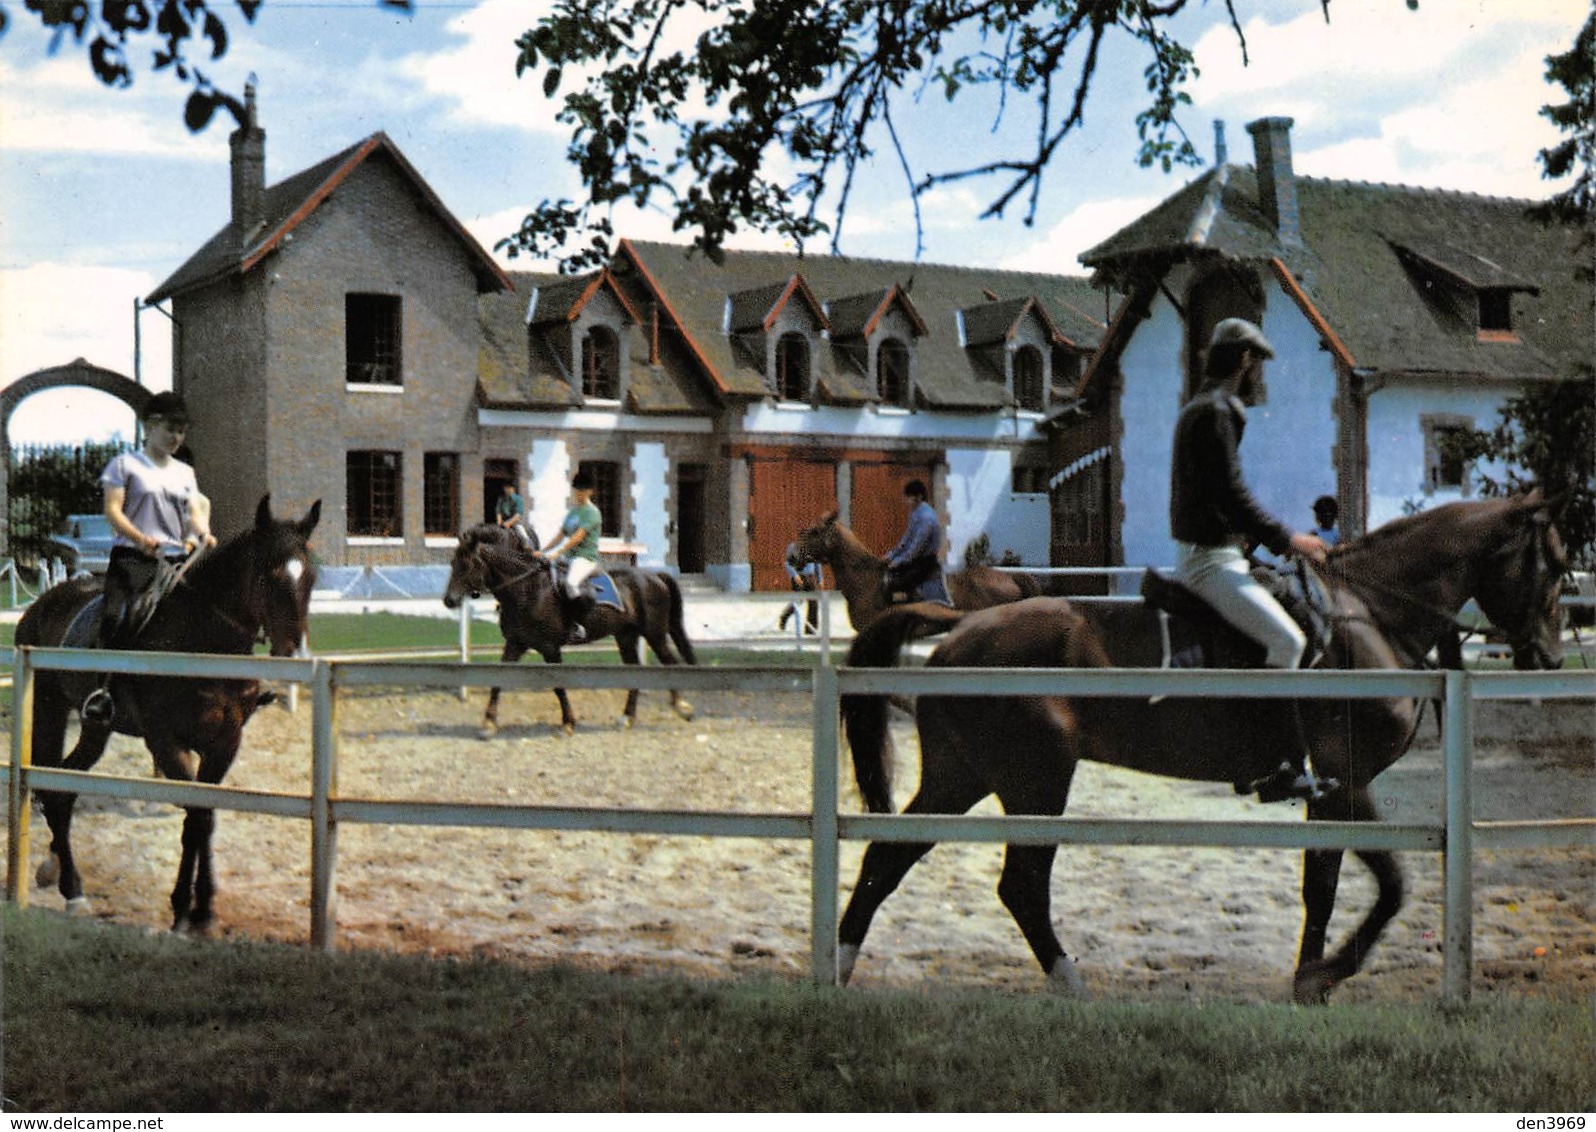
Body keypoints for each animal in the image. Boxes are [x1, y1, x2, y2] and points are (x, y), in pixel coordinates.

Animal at [14, 494, 320, 926]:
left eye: (311, 578)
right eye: (268, 575)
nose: (293, 653)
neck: (203, 643)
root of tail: (39, 607)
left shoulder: (224, 744)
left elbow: (205, 817)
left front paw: (203, 908)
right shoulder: (167, 744)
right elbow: (195, 815)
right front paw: (183, 909)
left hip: (96, 729)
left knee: (66, 788)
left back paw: (60, 876)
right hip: (49, 710)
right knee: (51, 784)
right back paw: (71, 889)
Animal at [446, 526, 702, 737]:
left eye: (466, 565)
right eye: (452, 563)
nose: (449, 600)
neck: (526, 588)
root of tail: (653, 575)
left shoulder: (550, 647)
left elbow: (559, 687)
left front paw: (568, 723)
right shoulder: (515, 643)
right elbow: (496, 680)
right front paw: (488, 723)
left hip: (655, 634)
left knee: (670, 663)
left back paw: (682, 707)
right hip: (626, 637)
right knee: (636, 672)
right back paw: (628, 718)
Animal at [842, 494, 1564, 996]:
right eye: (1553, 565)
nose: (1552, 657)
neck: (1369, 616)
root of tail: (964, 627)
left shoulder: (1331, 790)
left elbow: (1323, 887)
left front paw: (1310, 984)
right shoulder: (1346, 778)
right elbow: (1388, 889)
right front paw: (1323, 976)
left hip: (963, 776)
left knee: (888, 858)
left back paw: (840, 966)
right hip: (1034, 783)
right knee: (1020, 886)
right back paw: (1073, 988)